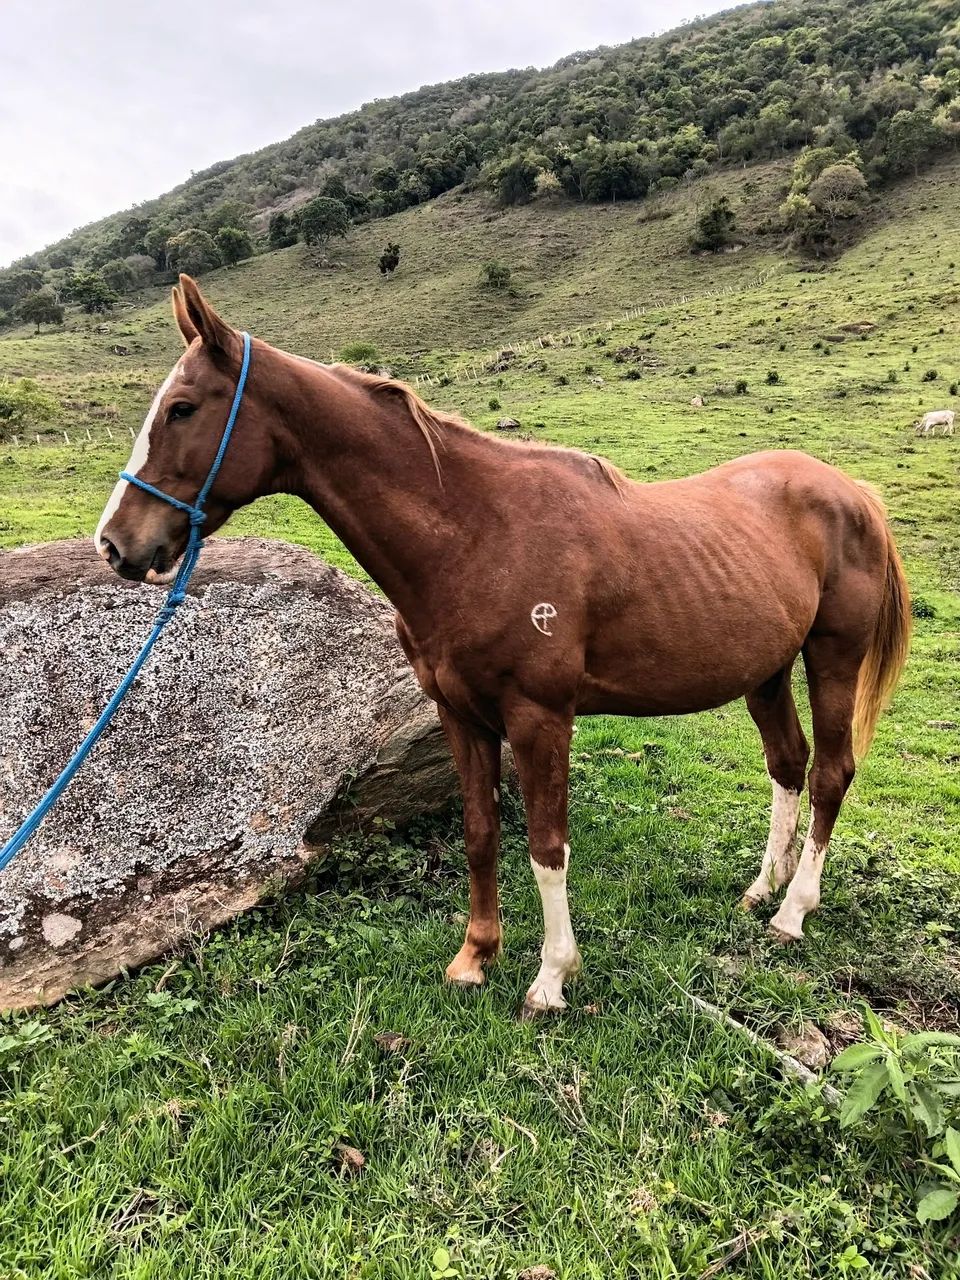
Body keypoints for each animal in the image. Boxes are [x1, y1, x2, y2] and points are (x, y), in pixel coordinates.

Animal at [95, 276, 911, 1017]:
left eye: (182, 408)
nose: (115, 544)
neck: (476, 535)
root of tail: (854, 494)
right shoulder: (461, 714)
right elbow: (482, 833)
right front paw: (474, 957)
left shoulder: (538, 717)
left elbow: (547, 847)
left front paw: (551, 978)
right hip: (765, 671)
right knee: (789, 764)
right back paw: (761, 888)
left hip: (831, 658)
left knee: (831, 771)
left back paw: (793, 910)